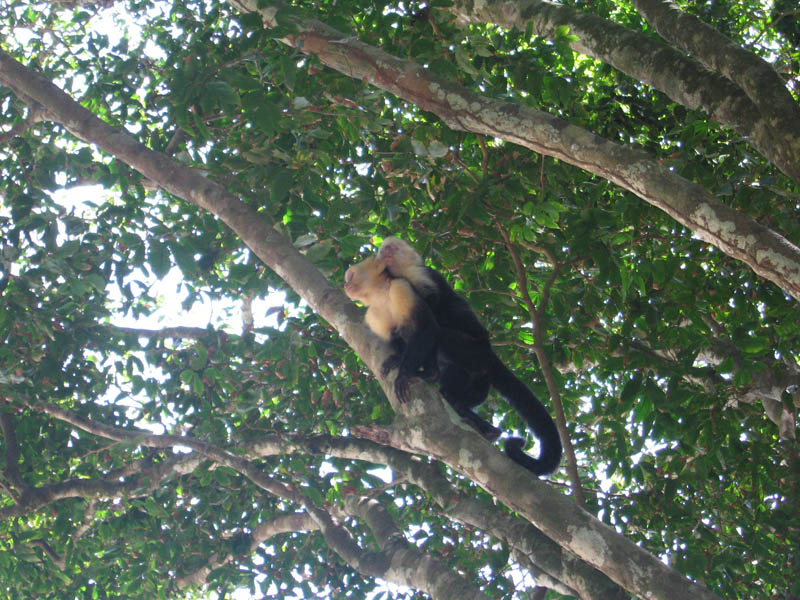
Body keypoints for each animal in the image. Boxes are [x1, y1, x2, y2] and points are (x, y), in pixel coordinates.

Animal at [376, 237, 560, 476]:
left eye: (392, 248)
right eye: (384, 250)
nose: (386, 253)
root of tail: (489, 353)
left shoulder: (419, 275)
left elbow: (432, 309)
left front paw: (403, 364)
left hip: (471, 349)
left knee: (440, 330)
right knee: (453, 392)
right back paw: (481, 425)